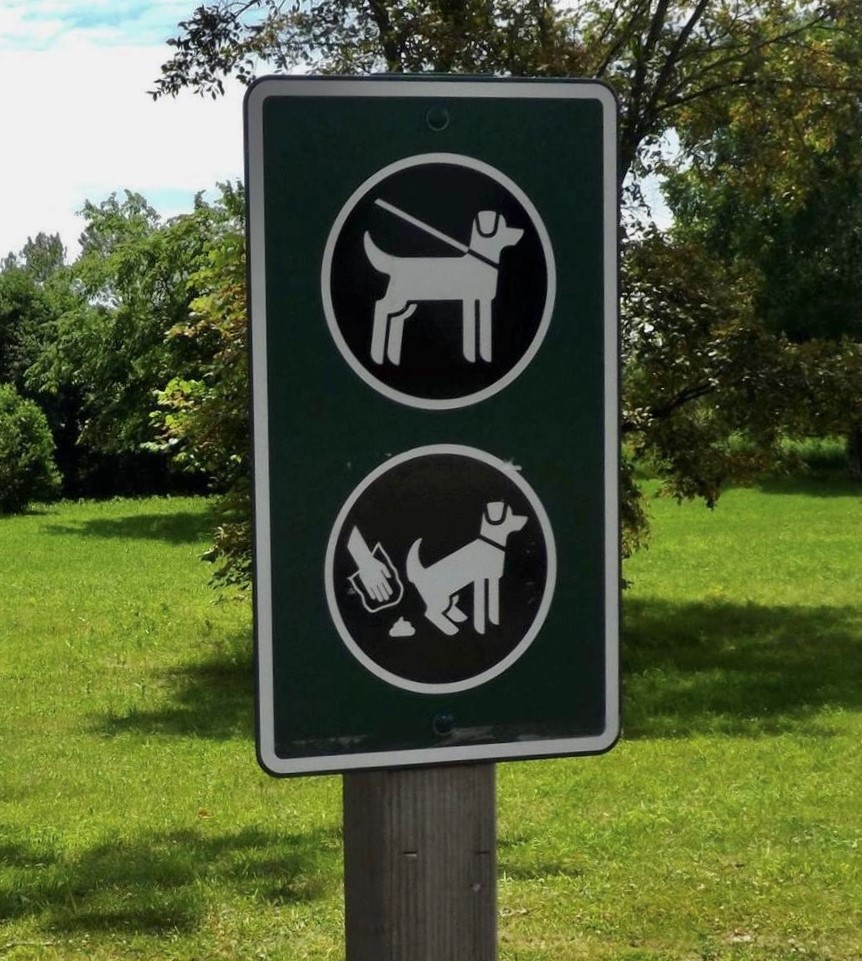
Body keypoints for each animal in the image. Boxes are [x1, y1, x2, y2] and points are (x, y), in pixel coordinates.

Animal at [362, 206, 524, 368]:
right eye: (504, 227)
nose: (522, 232)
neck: (479, 260)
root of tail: (396, 262)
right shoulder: (469, 299)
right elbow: (471, 329)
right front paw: (471, 356)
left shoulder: (484, 301)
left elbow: (482, 330)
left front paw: (484, 357)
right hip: (398, 299)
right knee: (381, 307)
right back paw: (377, 355)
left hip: (408, 303)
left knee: (395, 319)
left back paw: (392, 358)